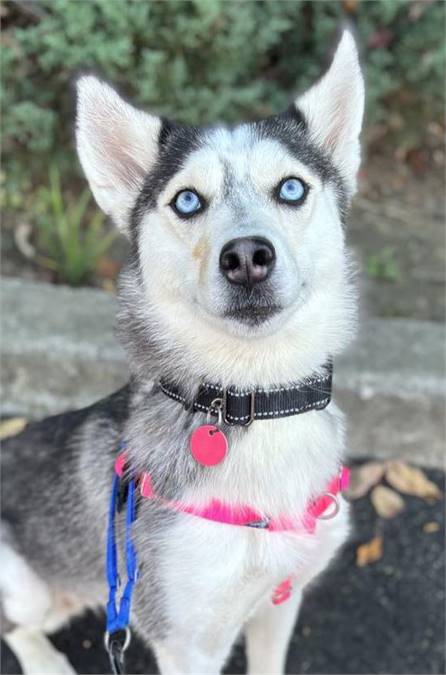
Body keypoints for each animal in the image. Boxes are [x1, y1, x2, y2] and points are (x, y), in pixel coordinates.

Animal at [0, 29, 364, 672]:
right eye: (188, 201)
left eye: (291, 187)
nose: (247, 256)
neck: (253, 400)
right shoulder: (185, 640)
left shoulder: (281, 599)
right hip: (25, 583)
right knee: (17, 625)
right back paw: (47, 661)